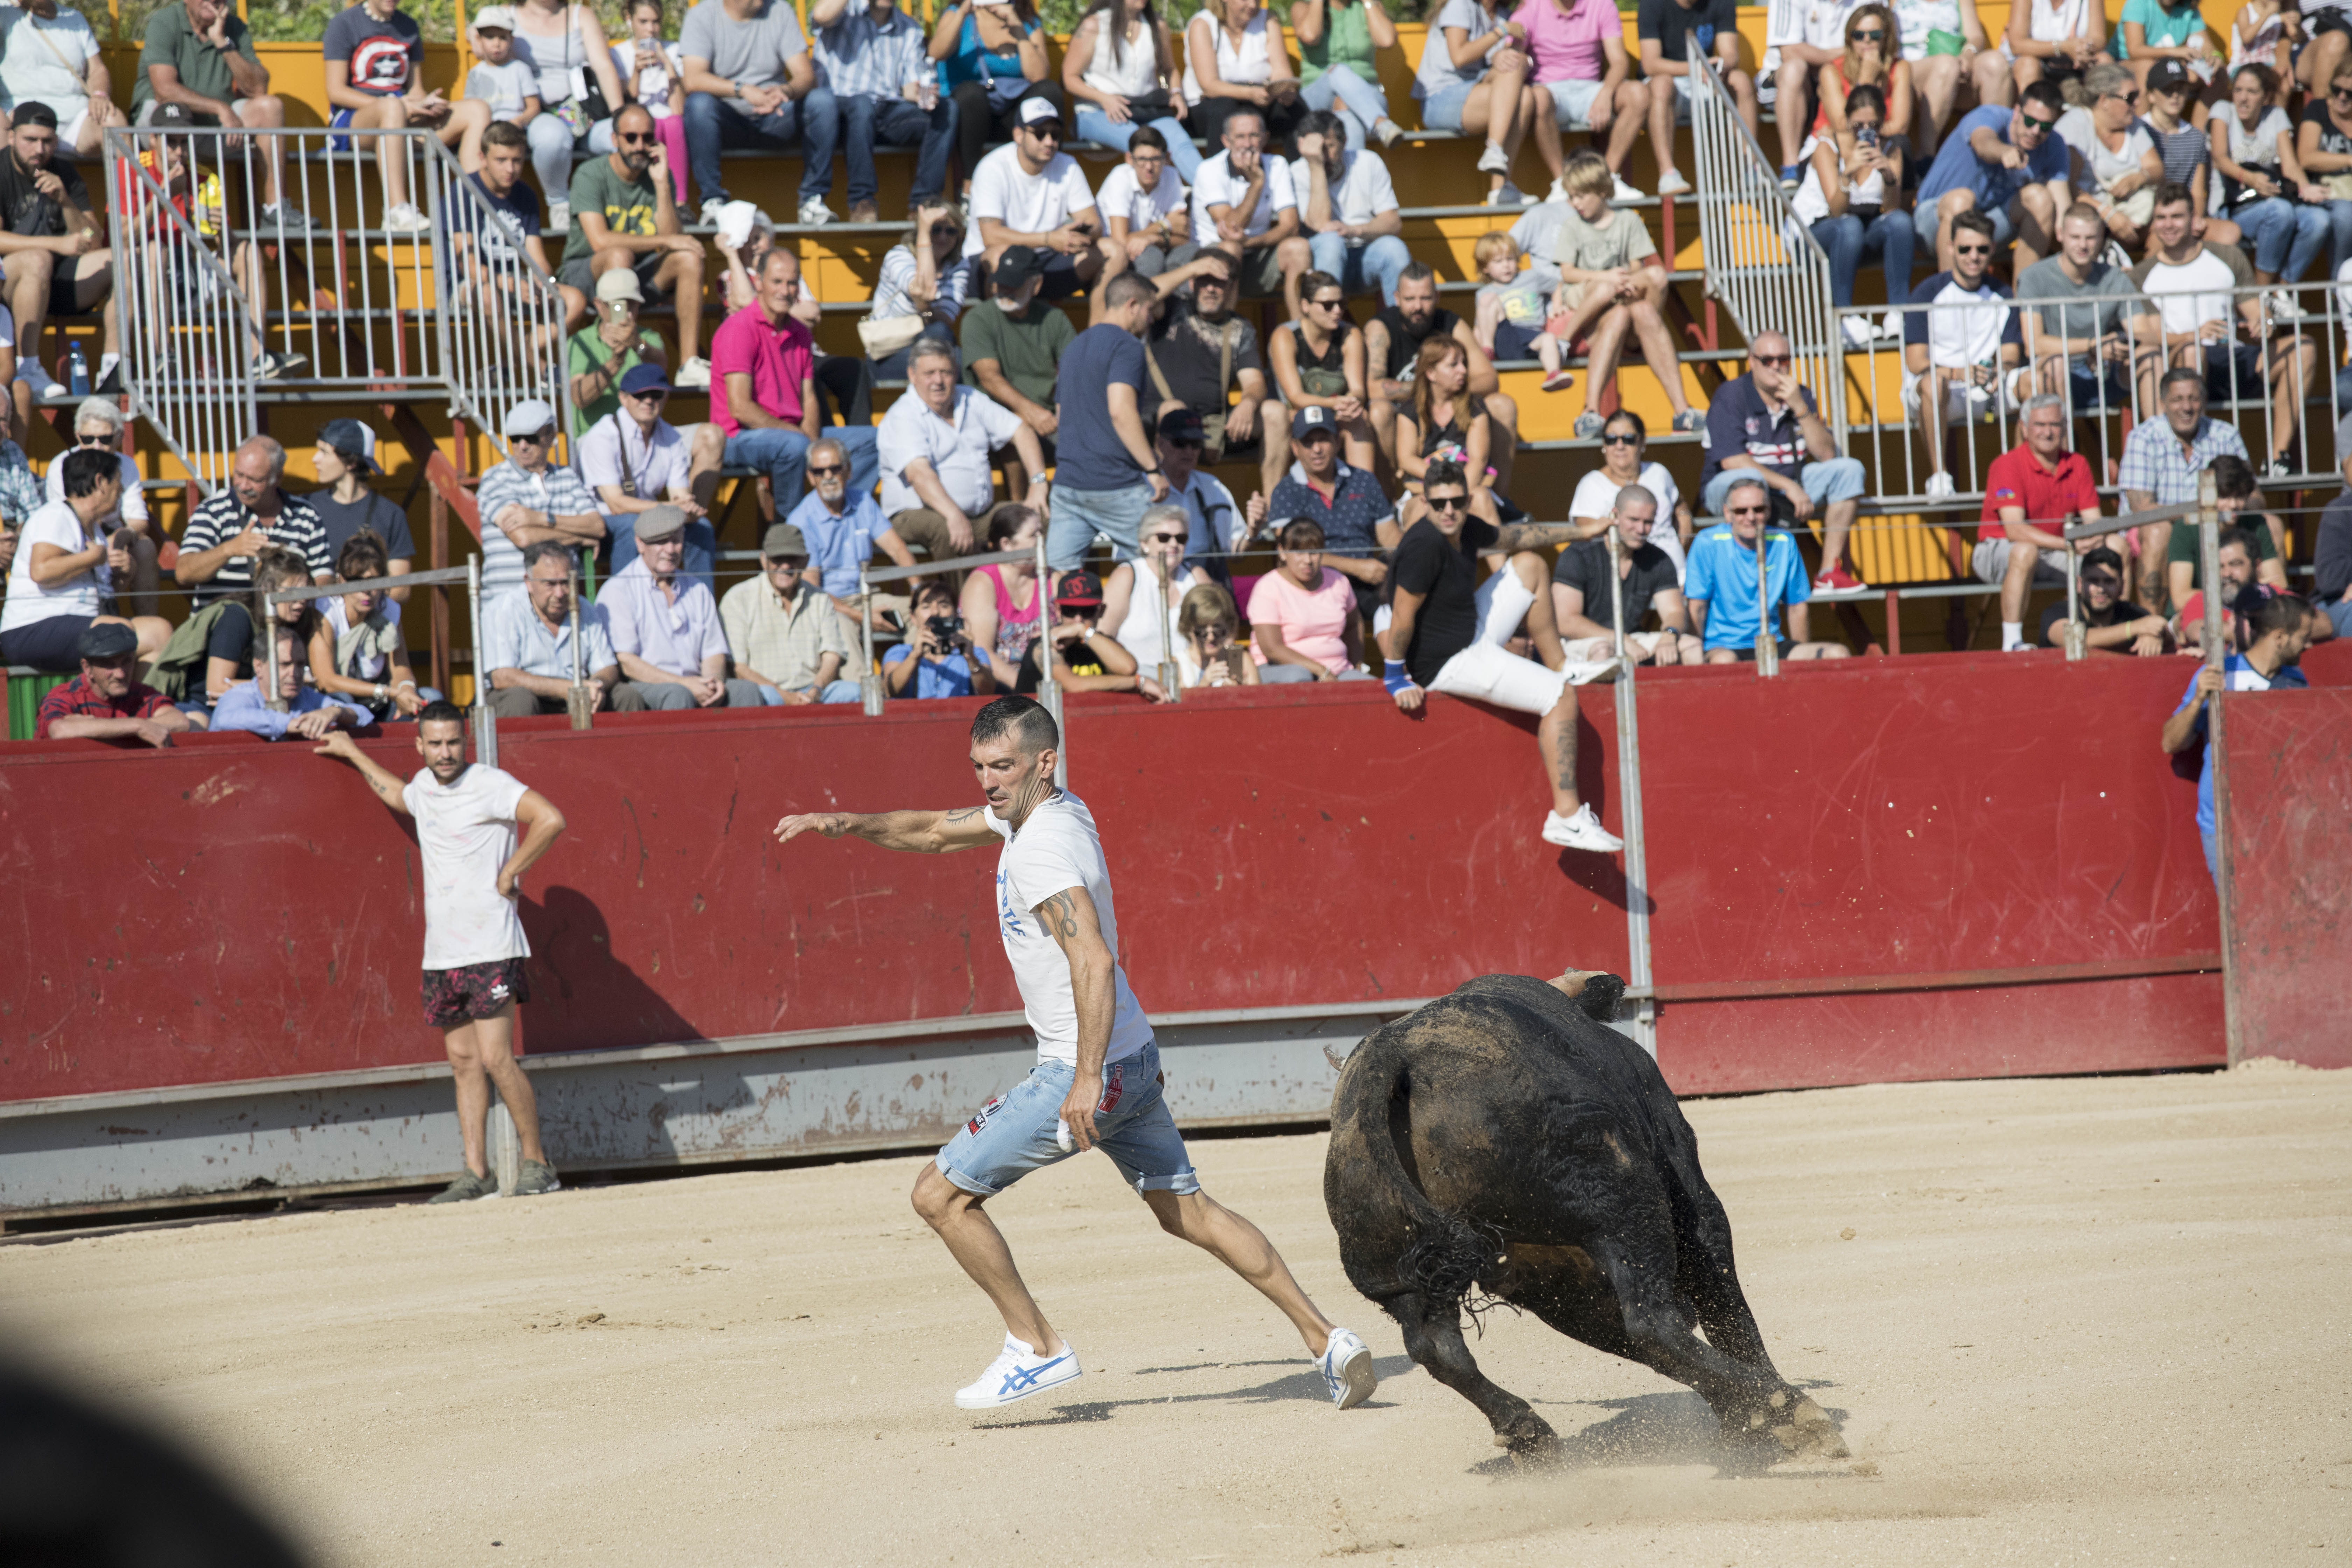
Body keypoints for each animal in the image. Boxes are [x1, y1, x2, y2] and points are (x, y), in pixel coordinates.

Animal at [1336, 964, 1844, 1467]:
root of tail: (1394, 1054)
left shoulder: (1551, 1280)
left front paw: (1746, 1423)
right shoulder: (1686, 1182)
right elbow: (1724, 1298)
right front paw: (1766, 1415)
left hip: (1397, 1272)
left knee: (1436, 1346)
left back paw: (1530, 1435)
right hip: (1625, 1203)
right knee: (1652, 1323)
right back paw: (1790, 1406)